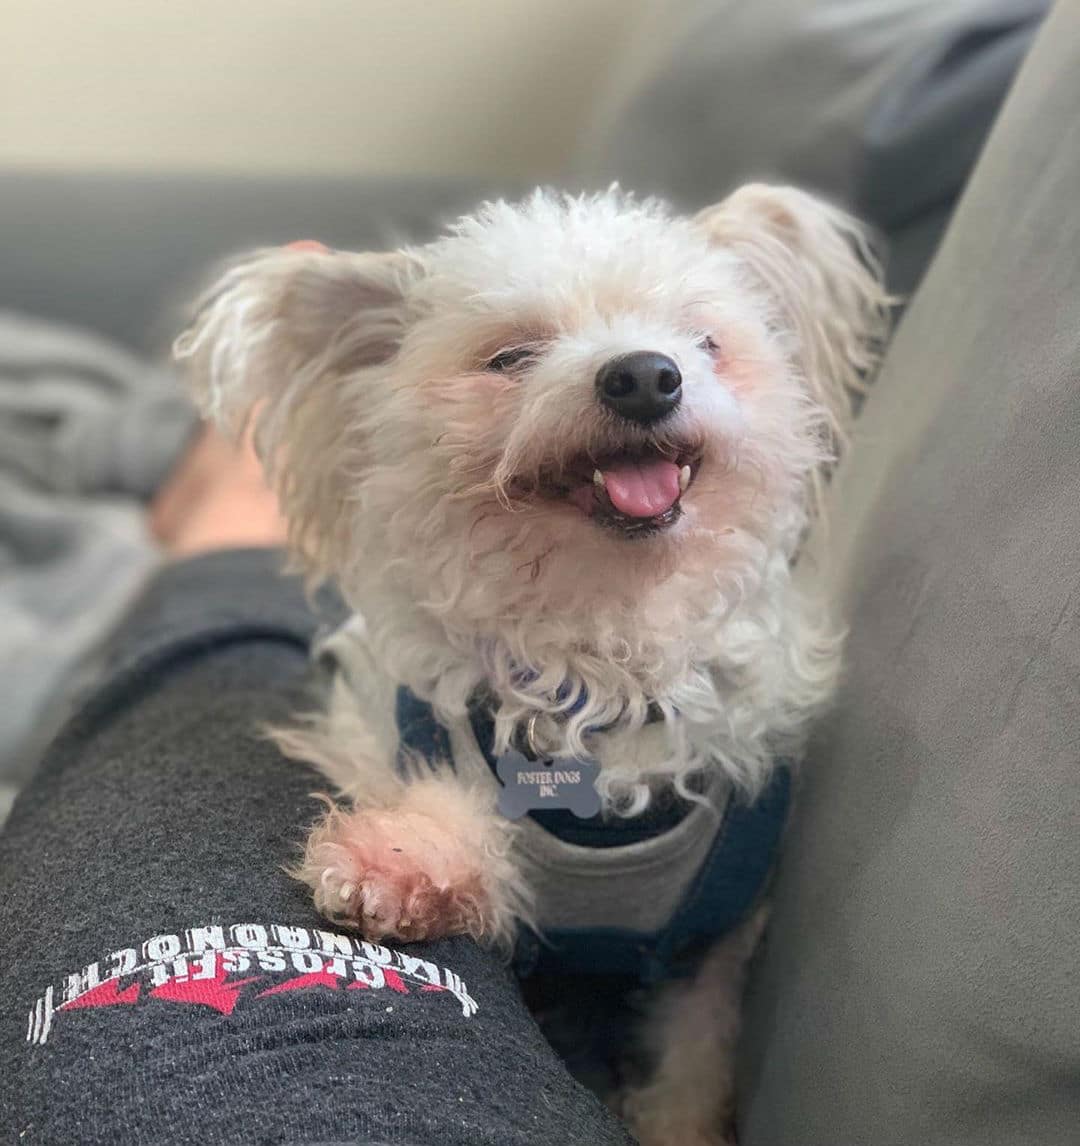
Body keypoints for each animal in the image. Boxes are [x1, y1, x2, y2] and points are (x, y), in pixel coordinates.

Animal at [175, 187, 889, 1146]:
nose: (644, 375)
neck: (602, 650)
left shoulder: (716, 938)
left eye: (704, 341)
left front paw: (678, 1125)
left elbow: (695, 1054)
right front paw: (400, 858)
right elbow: (449, 803)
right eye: (510, 357)